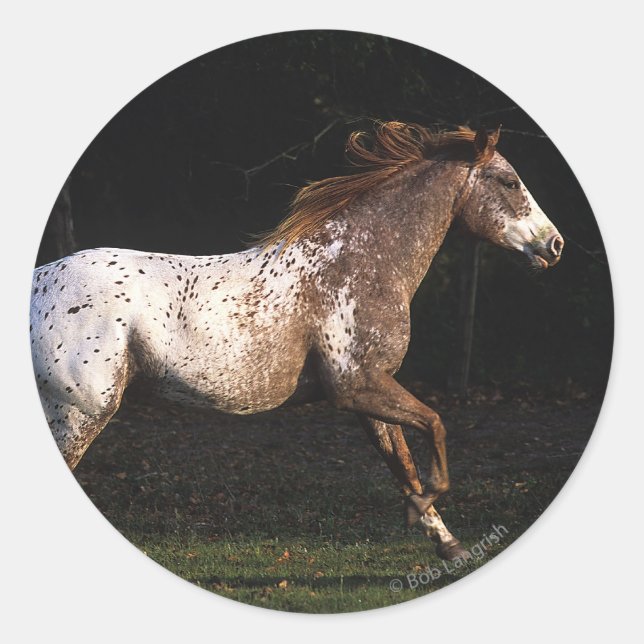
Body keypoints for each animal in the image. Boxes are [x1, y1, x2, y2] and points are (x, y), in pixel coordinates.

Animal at [30, 121, 563, 561]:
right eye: (510, 181)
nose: (555, 245)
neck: (360, 262)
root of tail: (39, 282)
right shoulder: (356, 386)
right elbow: (434, 426)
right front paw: (426, 513)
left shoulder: (370, 395)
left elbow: (404, 463)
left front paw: (446, 542)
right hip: (80, 412)